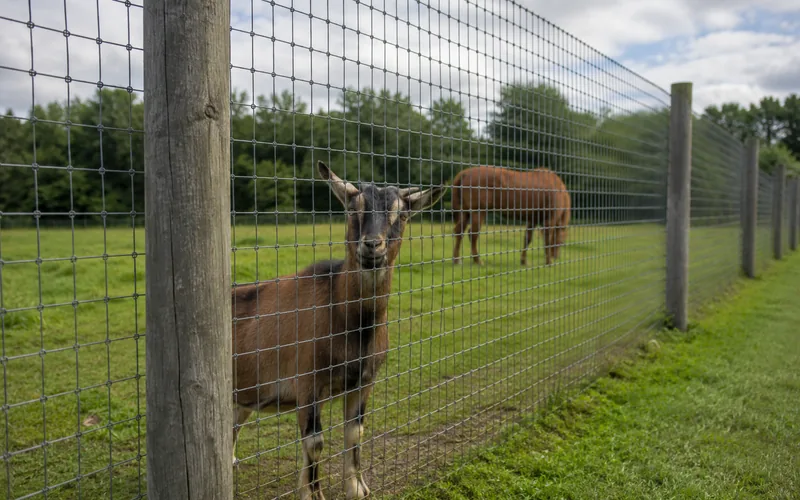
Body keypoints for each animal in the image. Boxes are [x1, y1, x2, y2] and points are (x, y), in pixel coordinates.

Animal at [231, 161, 448, 500]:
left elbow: (355, 433)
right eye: (352, 209)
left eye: (401, 215)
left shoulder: (363, 381)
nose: (372, 245)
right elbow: (315, 442)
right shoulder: (307, 382)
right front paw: (313, 494)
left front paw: (357, 488)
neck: (346, 320)